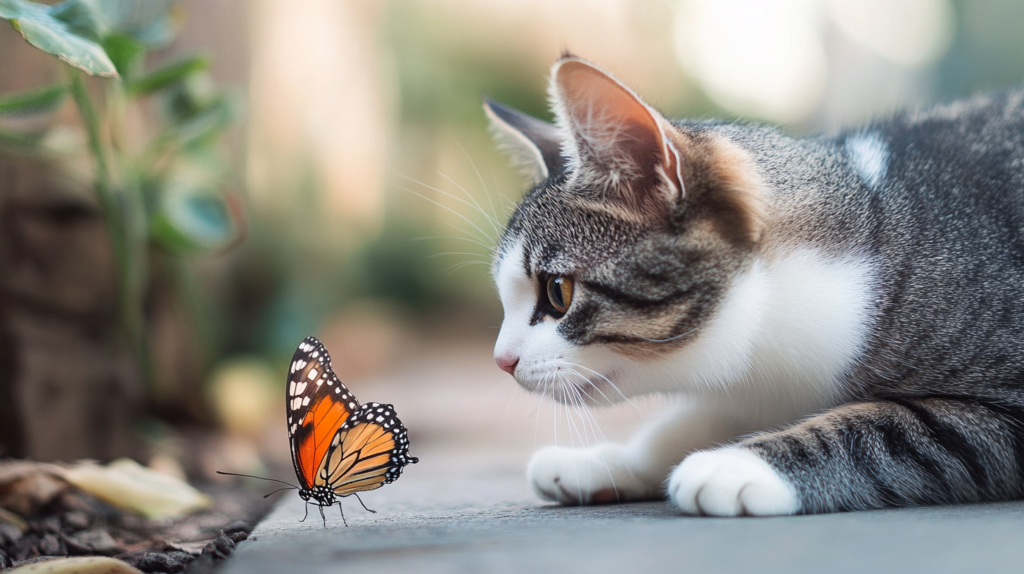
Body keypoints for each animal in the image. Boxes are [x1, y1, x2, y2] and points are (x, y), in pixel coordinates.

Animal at [483, 56, 1024, 517]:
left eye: (558, 292)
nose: (502, 361)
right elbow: (700, 417)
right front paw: (608, 460)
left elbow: (895, 430)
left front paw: (737, 464)